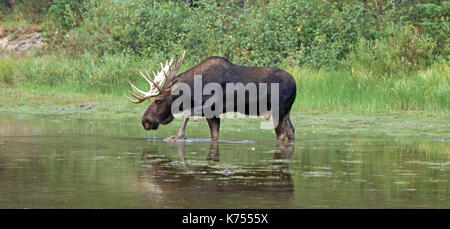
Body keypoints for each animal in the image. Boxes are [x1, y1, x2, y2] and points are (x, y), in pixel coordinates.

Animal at [125, 51, 298, 141]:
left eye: (158, 100)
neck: (192, 91)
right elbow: (214, 135)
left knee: (281, 135)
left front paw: (178, 136)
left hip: (278, 111)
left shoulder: (212, 105)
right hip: (287, 112)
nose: (145, 121)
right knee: (291, 131)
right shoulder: (213, 114)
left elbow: (187, 113)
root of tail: (296, 85)